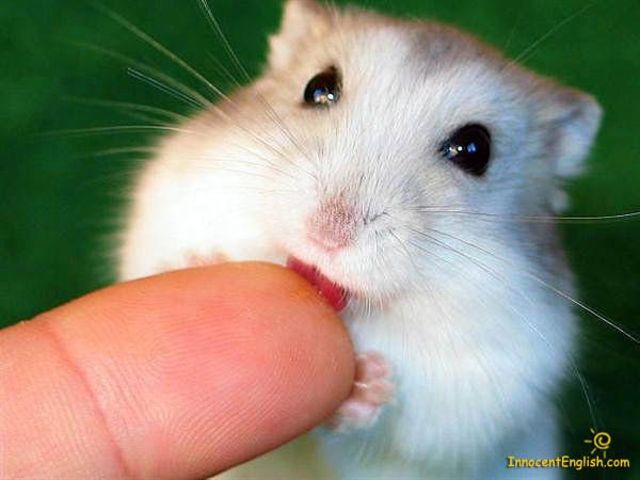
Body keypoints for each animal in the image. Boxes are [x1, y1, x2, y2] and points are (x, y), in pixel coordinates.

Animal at [118, 0, 602, 478]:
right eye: (318, 88)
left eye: (474, 149)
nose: (327, 233)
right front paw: (199, 263)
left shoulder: (486, 393)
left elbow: (394, 436)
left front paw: (367, 383)